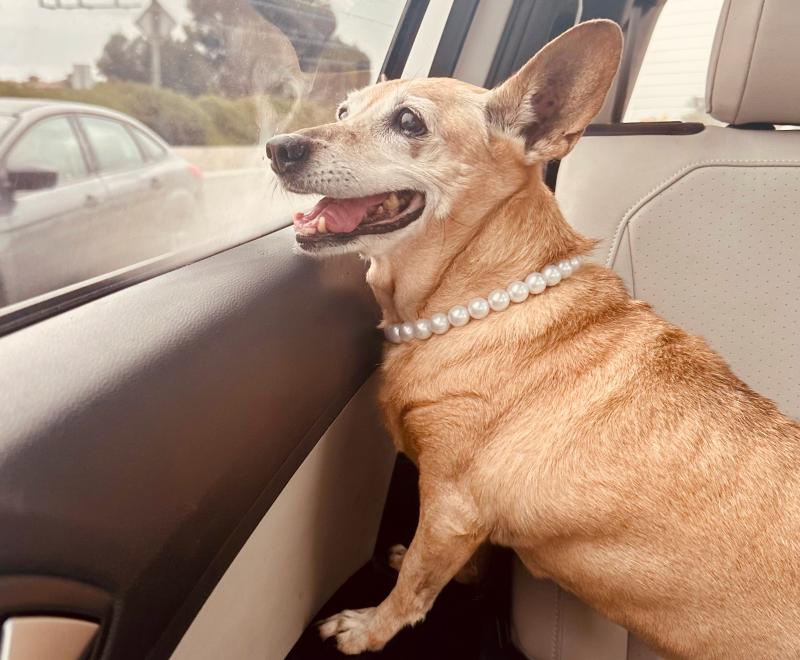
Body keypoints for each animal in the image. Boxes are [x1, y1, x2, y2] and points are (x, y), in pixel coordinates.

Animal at [268, 21, 800, 660]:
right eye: (344, 110)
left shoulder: (449, 505)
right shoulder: (462, 520)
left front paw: (371, 627)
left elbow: (417, 582)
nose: (277, 147)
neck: (473, 305)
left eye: (409, 122)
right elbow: (458, 561)